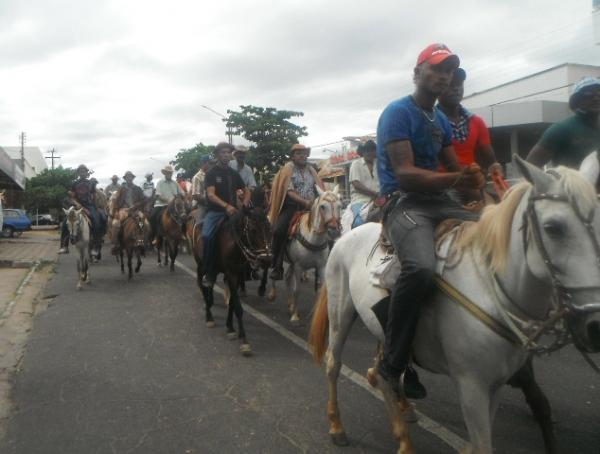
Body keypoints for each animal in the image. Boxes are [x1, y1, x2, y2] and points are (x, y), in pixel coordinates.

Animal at [189, 204, 270, 356]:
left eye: (270, 229)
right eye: (253, 230)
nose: (266, 259)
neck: (234, 244)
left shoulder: (238, 276)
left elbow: (232, 303)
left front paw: (231, 327)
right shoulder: (231, 274)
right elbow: (238, 307)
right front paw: (244, 341)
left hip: (213, 269)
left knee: (210, 285)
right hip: (201, 264)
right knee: (201, 285)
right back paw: (209, 316)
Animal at [268, 186, 342, 324]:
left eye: (340, 206)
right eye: (323, 206)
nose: (334, 230)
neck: (312, 239)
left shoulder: (321, 267)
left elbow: (320, 291)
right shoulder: (299, 266)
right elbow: (297, 290)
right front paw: (295, 316)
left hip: (291, 263)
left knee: (287, 277)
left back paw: (290, 304)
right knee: (272, 270)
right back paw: (272, 293)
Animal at [310, 157, 600, 454]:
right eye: (554, 227)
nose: (595, 326)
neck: (488, 289)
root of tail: (344, 236)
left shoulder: (496, 385)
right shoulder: (472, 386)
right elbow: (483, 444)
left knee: (382, 375)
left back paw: (404, 429)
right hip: (340, 313)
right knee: (335, 364)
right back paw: (337, 427)